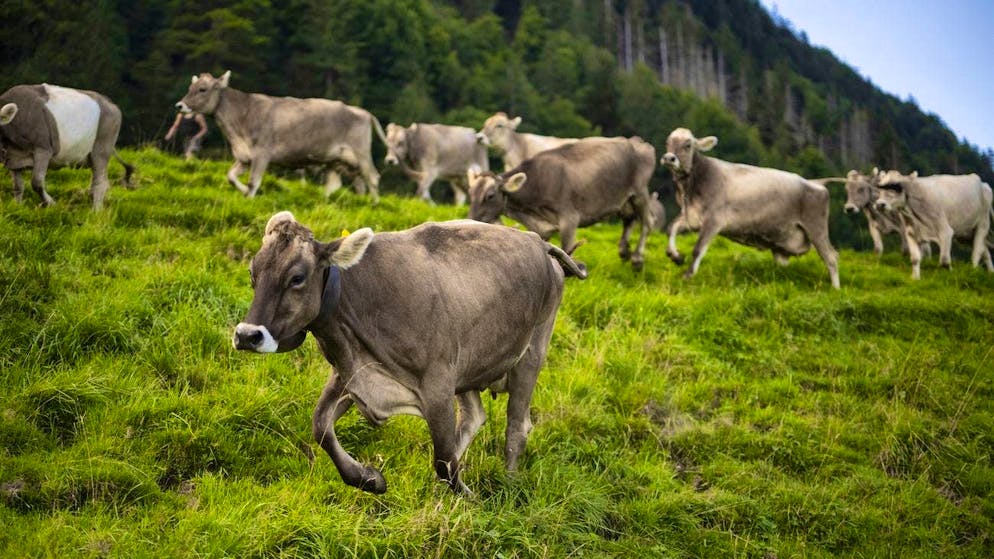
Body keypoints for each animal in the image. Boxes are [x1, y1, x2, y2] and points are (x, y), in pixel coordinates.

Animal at [0, 84, 133, 210]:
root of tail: (110, 103)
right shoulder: (13, 159)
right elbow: (18, 187)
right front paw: (17, 207)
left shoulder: (43, 150)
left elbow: (37, 183)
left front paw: (52, 204)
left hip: (102, 148)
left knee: (99, 183)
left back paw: (96, 212)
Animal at [176, 71, 386, 201]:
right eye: (190, 88)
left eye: (202, 89)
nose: (180, 105)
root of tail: (363, 111)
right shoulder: (244, 156)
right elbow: (230, 176)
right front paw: (242, 190)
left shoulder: (262, 153)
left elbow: (253, 182)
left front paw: (249, 197)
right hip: (335, 160)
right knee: (341, 183)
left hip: (360, 152)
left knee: (372, 177)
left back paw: (372, 204)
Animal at [232, 211, 586, 494]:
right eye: (252, 274)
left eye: (297, 277)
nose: (247, 335)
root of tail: (537, 241)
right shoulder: (354, 373)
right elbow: (320, 425)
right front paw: (369, 479)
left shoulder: (437, 385)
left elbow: (443, 459)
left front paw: (469, 500)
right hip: (469, 364)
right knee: (474, 416)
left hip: (532, 352)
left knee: (516, 427)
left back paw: (509, 484)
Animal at [467, 136, 657, 271]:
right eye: (470, 193)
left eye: (490, 196)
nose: (471, 218)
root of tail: (636, 141)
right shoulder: (540, 228)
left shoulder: (569, 218)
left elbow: (566, 249)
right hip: (624, 200)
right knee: (629, 220)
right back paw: (624, 251)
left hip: (640, 192)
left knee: (647, 223)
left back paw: (637, 259)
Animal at [661, 128, 840, 289]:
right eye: (668, 142)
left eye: (688, 145)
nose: (669, 158)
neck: (691, 189)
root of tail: (815, 182)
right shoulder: (692, 216)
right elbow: (671, 228)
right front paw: (675, 256)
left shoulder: (714, 220)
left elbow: (698, 249)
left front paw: (687, 276)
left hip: (816, 227)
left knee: (831, 257)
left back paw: (835, 290)